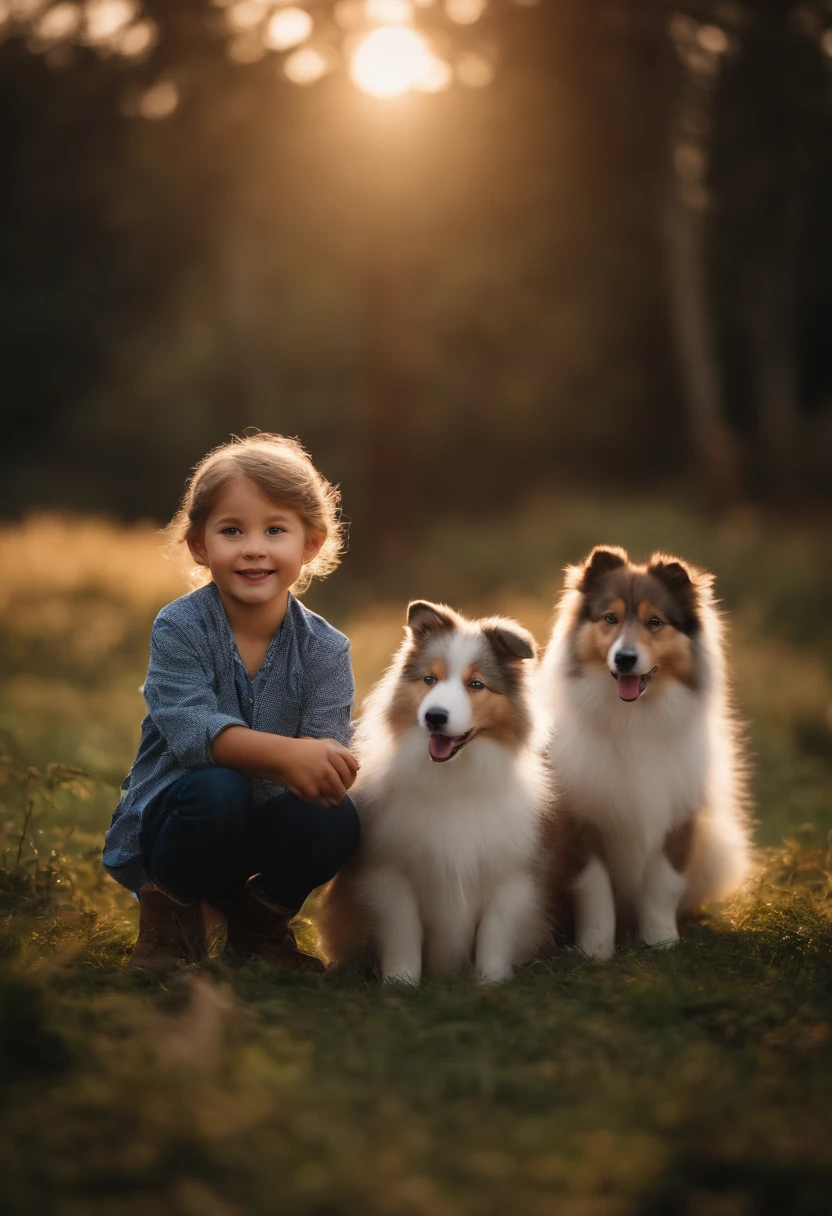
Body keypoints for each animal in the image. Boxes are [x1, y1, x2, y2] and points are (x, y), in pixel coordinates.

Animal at [318, 598, 552, 987]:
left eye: (476, 684)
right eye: (430, 679)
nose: (435, 717)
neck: (453, 778)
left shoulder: (507, 877)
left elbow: (494, 935)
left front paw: (491, 984)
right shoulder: (392, 875)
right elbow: (404, 933)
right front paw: (401, 983)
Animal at [540, 544, 754, 958]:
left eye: (655, 622)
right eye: (610, 618)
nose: (625, 658)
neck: (632, 718)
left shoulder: (677, 815)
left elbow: (662, 885)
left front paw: (661, 943)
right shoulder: (582, 824)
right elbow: (595, 890)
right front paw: (595, 950)